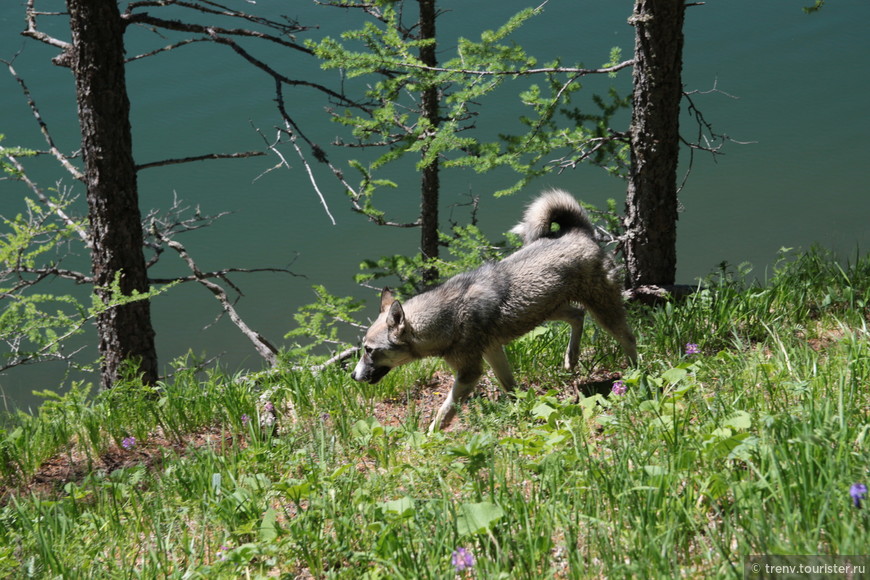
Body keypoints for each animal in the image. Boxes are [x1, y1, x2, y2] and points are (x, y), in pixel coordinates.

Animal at [352, 190, 640, 430]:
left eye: (369, 350)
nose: (353, 376)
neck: (448, 316)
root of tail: (578, 231)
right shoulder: (493, 351)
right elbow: (510, 386)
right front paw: (522, 409)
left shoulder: (469, 373)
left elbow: (445, 411)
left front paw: (429, 437)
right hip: (547, 310)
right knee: (577, 316)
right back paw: (571, 357)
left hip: (602, 310)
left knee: (628, 338)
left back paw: (636, 374)